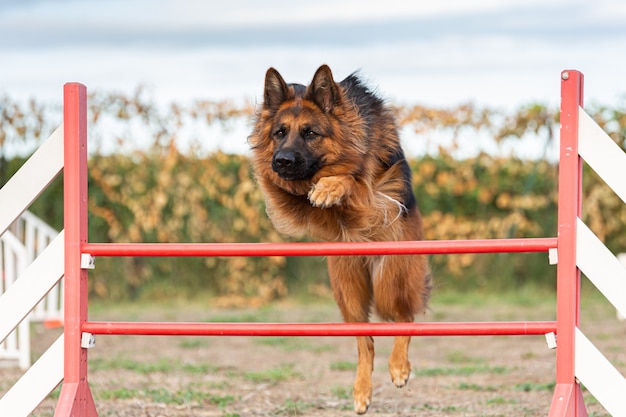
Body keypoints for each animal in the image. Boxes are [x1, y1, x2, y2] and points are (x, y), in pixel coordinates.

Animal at [247, 65, 428, 412]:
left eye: (311, 133)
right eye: (279, 133)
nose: (282, 161)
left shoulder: (374, 197)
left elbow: (353, 180)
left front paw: (330, 186)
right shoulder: (286, 197)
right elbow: (293, 188)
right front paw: (320, 187)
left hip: (390, 280)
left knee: (405, 317)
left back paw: (399, 367)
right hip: (348, 291)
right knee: (365, 341)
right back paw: (362, 391)